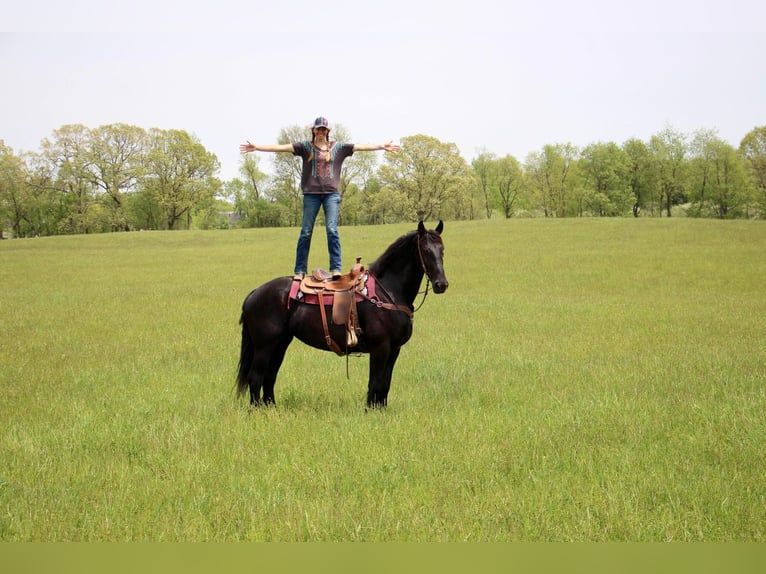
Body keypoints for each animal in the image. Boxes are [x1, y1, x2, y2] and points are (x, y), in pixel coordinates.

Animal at [236, 222, 450, 410]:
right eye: (426, 250)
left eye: (442, 250)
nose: (441, 284)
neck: (388, 291)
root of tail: (254, 293)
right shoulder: (380, 347)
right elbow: (375, 382)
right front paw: (370, 411)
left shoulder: (394, 349)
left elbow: (385, 384)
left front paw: (381, 410)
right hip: (264, 346)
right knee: (256, 377)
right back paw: (256, 411)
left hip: (280, 344)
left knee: (269, 377)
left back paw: (270, 408)